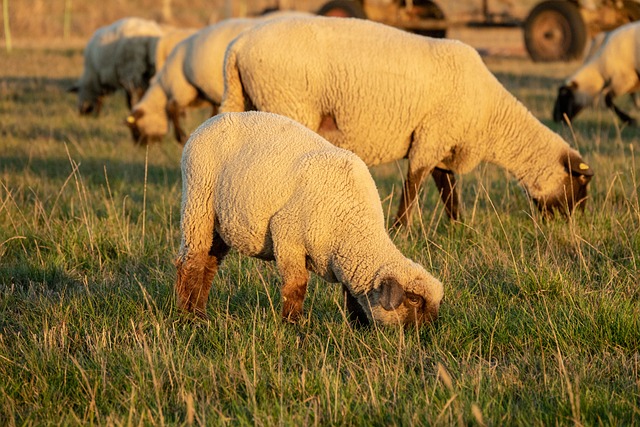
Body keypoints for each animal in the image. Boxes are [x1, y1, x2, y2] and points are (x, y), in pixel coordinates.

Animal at [175, 111, 444, 328]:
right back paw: (188, 316)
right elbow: (297, 285)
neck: (353, 226)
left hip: (221, 223)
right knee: (191, 261)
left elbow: (350, 294)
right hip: (198, 202)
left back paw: (200, 312)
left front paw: (358, 327)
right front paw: (293, 325)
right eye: (414, 299)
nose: (428, 331)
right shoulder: (288, 236)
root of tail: (209, 122)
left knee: (209, 263)